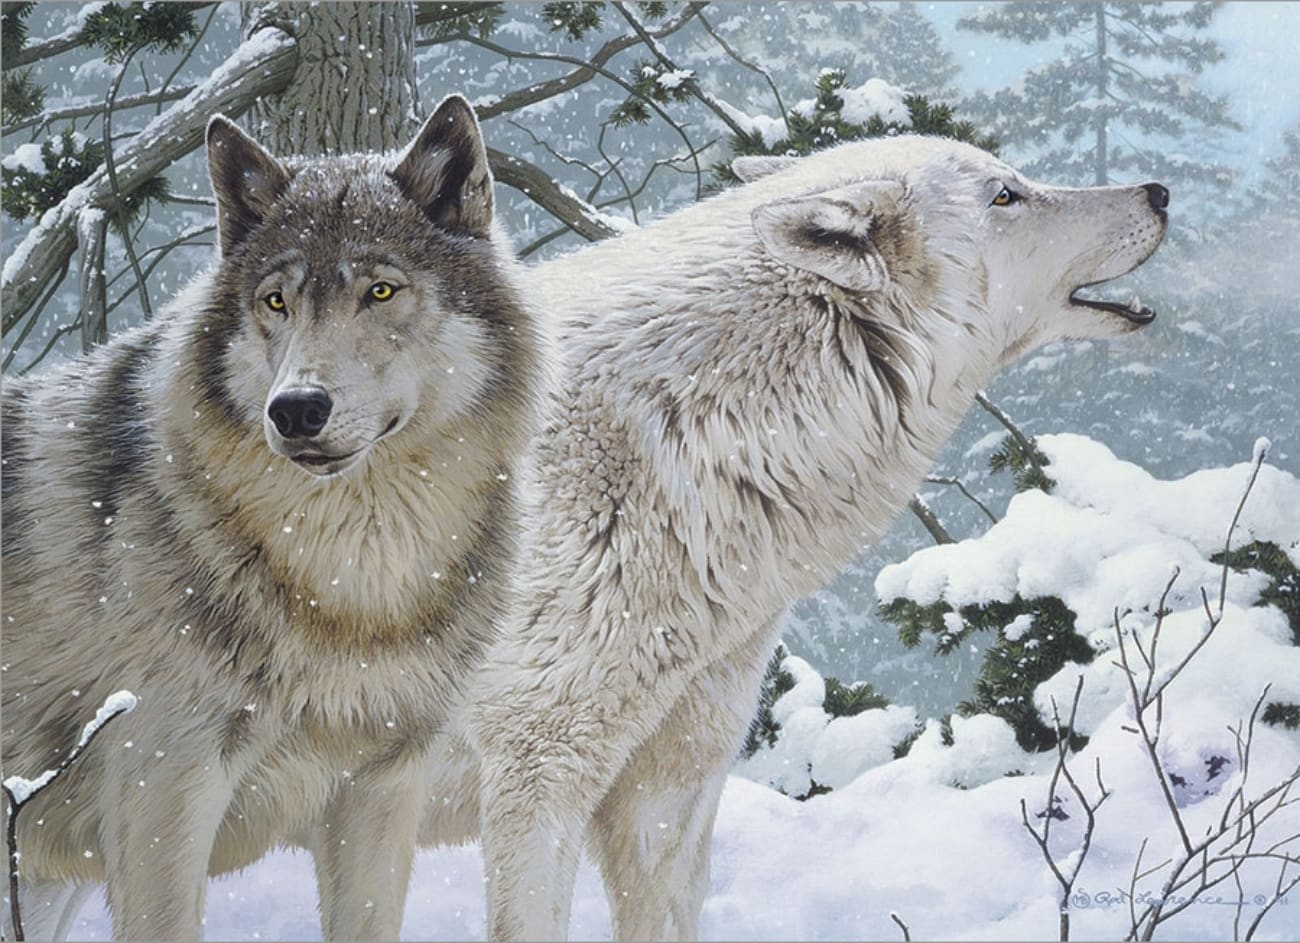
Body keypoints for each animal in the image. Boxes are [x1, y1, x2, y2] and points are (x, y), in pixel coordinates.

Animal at [0, 95, 543, 941]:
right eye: (276, 300)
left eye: (380, 291)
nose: (295, 409)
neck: (356, 585)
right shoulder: (165, 791)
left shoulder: (385, 783)